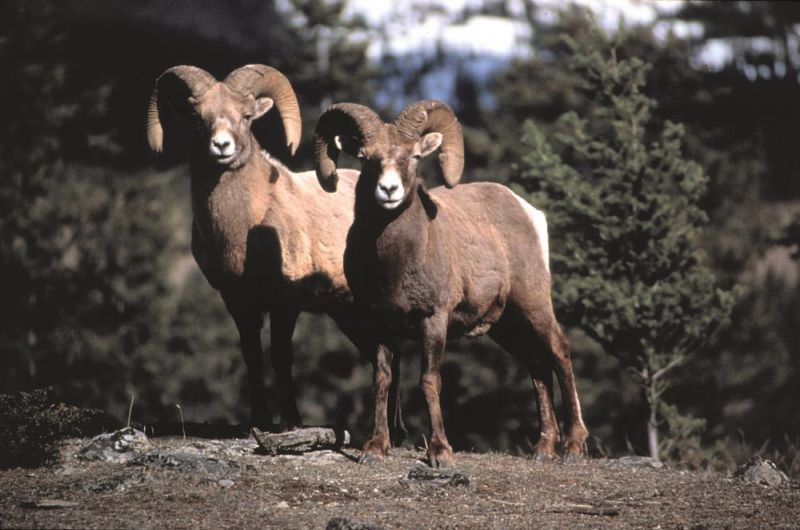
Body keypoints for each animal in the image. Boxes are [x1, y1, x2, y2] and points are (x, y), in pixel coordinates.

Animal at [145, 64, 406, 432]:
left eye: (246, 116)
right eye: (198, 118)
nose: (221, 146)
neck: (243, 228)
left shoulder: (285, 303)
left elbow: (282, 356)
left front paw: (291, 422)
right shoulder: (239, 303)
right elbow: (252, 356)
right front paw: (260, 421)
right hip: (348, 313)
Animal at [318, 101, 588, 464]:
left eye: (414, 156)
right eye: (365, 157)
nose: (388, 191)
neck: (395, 263)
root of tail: (529, 212)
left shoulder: (433, 320)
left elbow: (429, 381)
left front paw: (440, 452)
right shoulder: (380, 325)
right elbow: (382, 379)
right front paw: (375, 448)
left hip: (533, 305)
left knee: (559, 352)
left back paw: (572, 446)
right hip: (507, 324)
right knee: (537, 366)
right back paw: (543, 449)